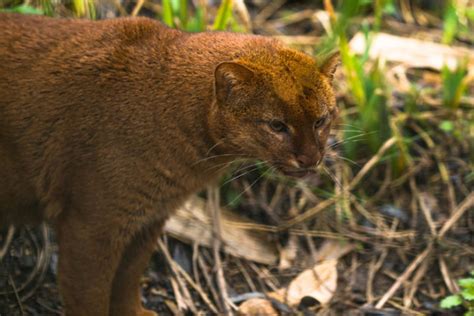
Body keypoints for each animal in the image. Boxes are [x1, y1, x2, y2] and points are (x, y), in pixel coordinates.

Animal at [0, 12, 340, 316]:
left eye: (321, 120)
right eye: (277, 125)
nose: (311, 158)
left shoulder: (148, 218)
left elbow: (127, 279)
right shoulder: (91, 224)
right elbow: (89, 297)